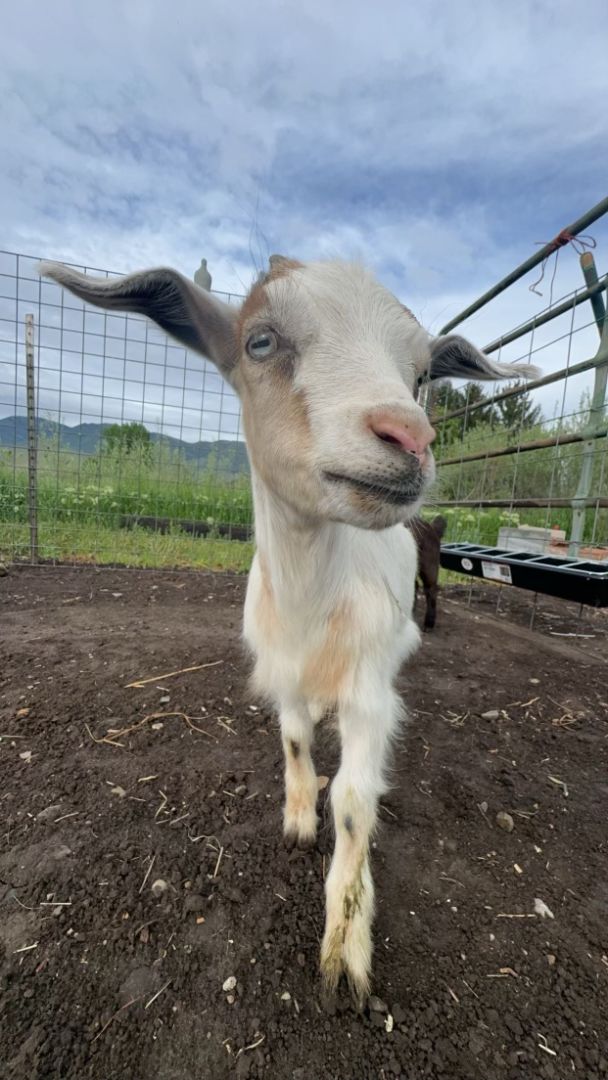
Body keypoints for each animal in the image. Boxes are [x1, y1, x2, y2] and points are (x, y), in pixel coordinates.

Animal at [41, 257, 536, 1003]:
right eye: (261, 342)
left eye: (422, 374)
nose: (410, 437)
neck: (311, 602)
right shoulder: (282, 666)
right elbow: (296, 738)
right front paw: (300, 821)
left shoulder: (369, 687)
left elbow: (356, 801)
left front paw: (345, 949)